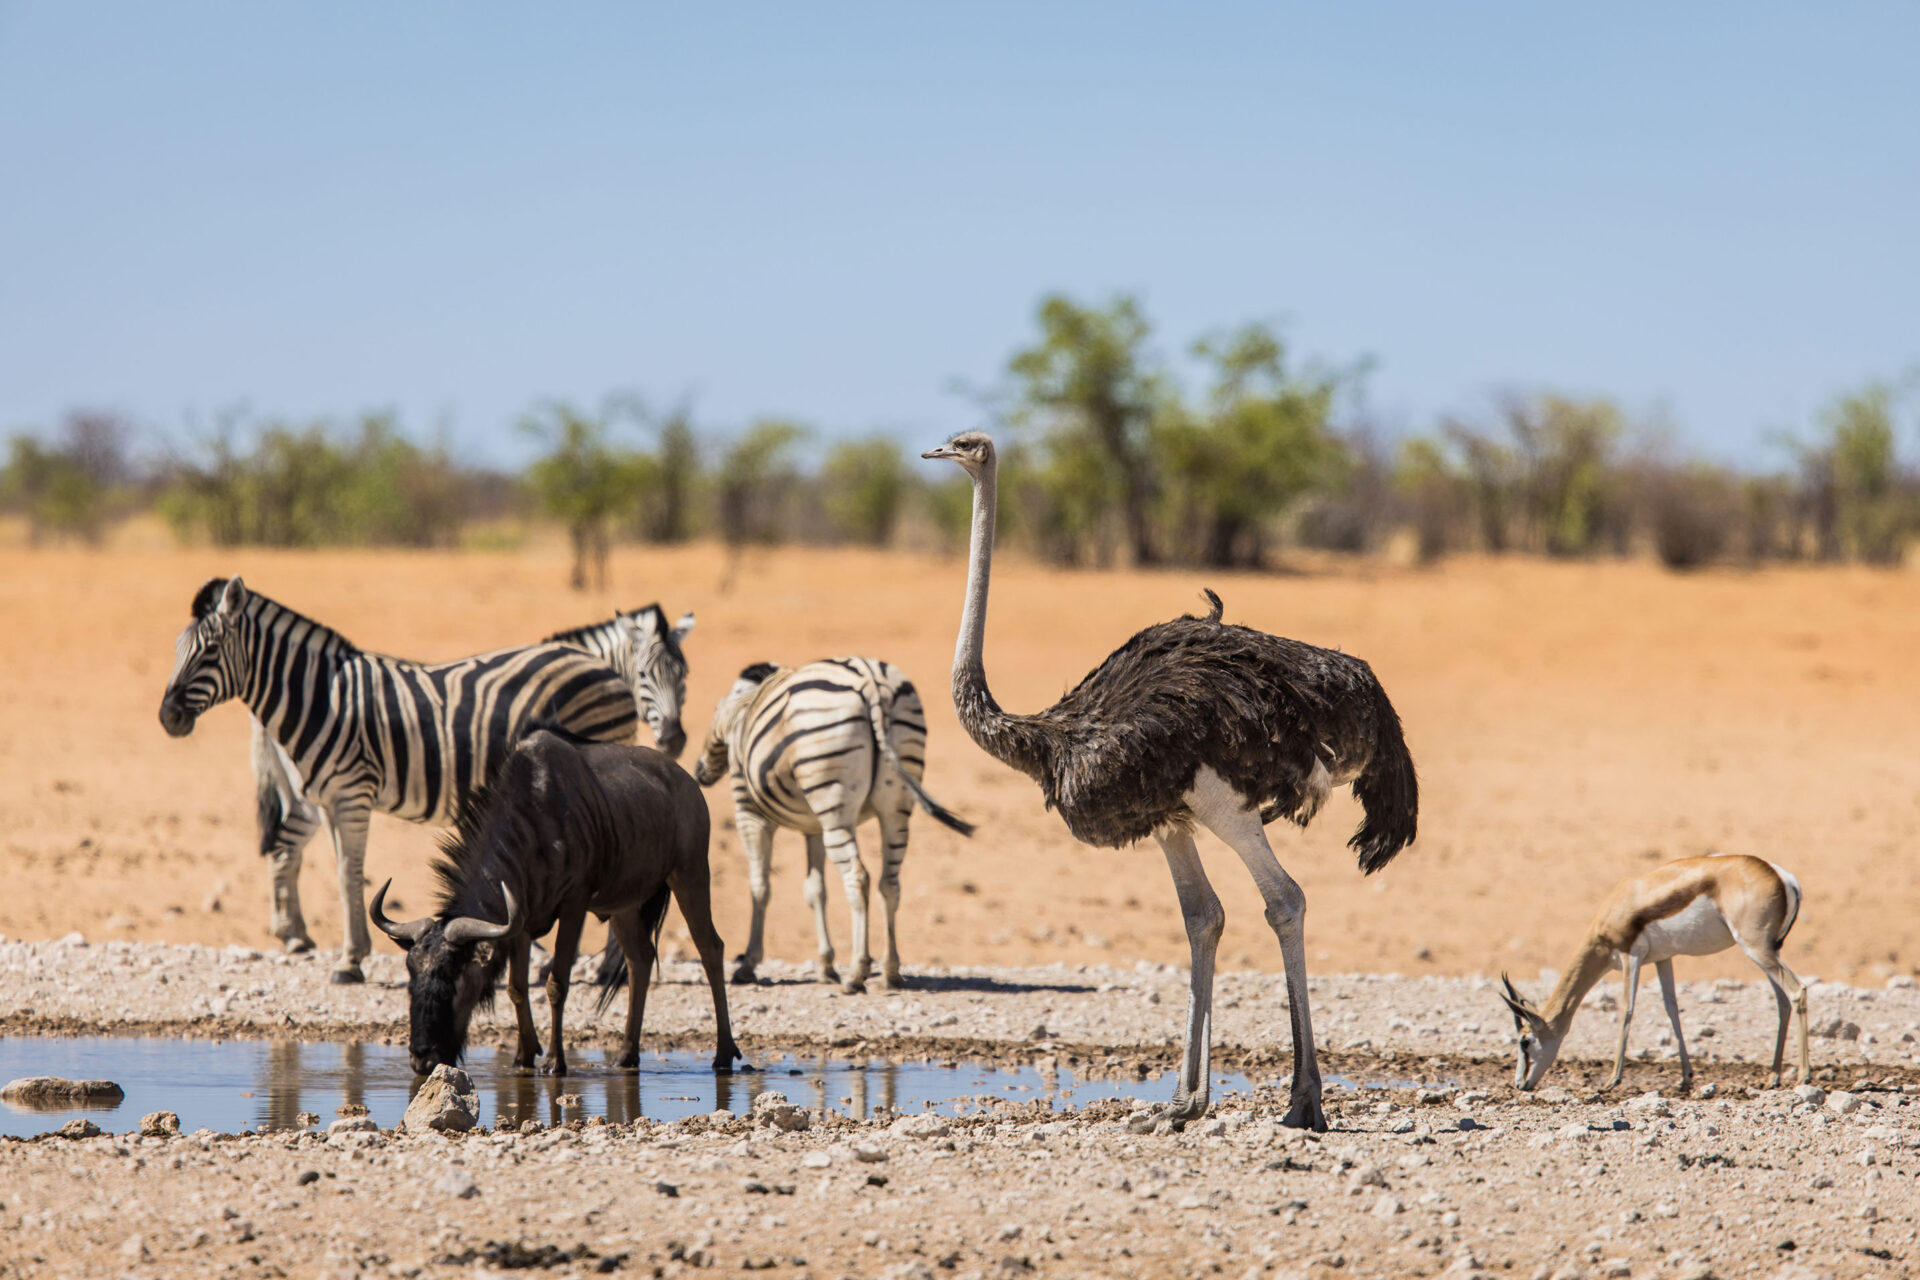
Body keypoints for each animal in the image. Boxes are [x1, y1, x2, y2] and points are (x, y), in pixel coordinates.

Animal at [160, 576, 641, 983]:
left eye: (210, 651)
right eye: (178, 649)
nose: (168, 717)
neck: (320, 699)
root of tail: (605, 668)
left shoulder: (352, 794)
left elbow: (348, 875)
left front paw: (349, 962)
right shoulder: (331, 800)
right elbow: (344, 875)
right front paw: (353, 955)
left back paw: (608, 968)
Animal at [245, 601, 697, 959]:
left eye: (685, 677)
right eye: (644, 674)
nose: (675, 740)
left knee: (285, 848)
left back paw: (295, 934)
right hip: (317, 790)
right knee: (286, 847)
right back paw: (295, 936)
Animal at [693, 656, 974, 993]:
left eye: (715, 708)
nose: (699, 773)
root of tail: (871, 680)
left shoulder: (749, 814)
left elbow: (760, 887)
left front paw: (748, 965)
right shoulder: (814, 826)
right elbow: (816, 889)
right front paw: (826, 965)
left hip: (834, 805)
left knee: (858, 877)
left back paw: (857, 973)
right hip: (894, 808)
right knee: (889, 883)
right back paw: (891, 971)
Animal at [1498, 854, 1808, 1092]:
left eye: (1524, 1041)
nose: (1519, 1084)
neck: (1619, 905)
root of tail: (1783, 876)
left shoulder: (1630, 957)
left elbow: (1627, 1009)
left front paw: (1611, 1081)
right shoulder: (1663, 959)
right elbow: (1671, 1009)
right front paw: (1685, 1078)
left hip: (1755, 948)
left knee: (1797, 991)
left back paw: (1804, 1076)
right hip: (1767, 952)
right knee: (1782, 1001)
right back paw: (1772, 1078)